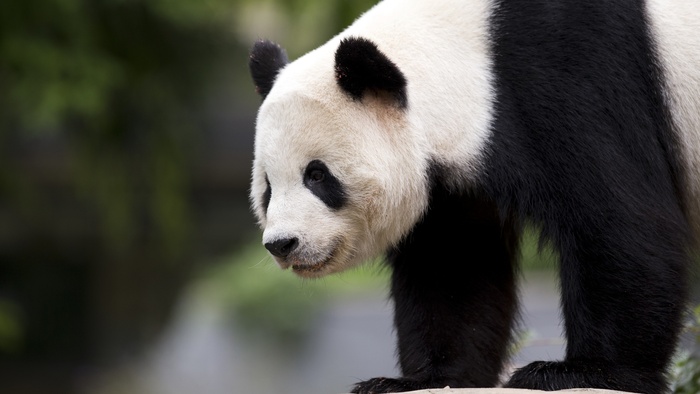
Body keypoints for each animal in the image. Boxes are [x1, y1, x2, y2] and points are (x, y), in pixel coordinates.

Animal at [246, 0, 700, 394]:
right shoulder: (456, 179)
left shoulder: (578, 72)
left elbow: (620, 223)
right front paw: (425, 378)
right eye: (268, 187)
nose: (283, 244)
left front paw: (581, 371)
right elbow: (455, 266)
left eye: (317, 175)